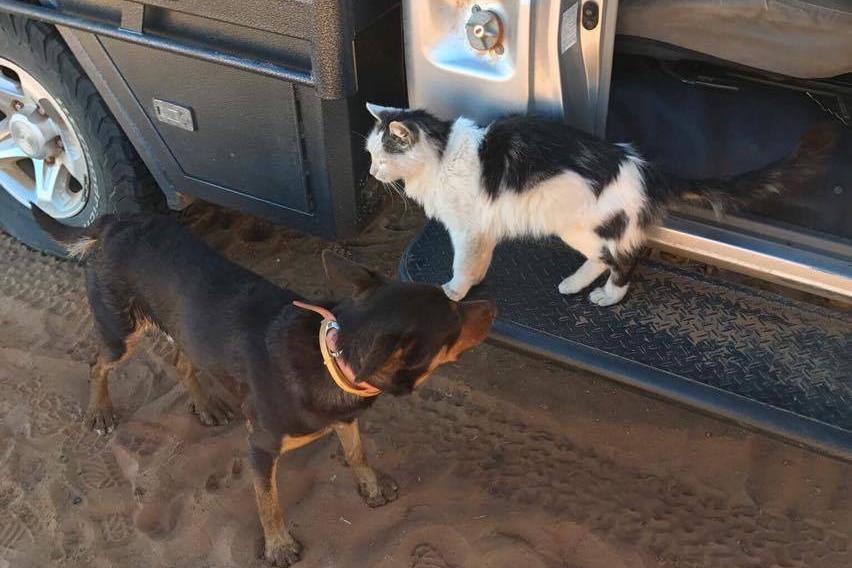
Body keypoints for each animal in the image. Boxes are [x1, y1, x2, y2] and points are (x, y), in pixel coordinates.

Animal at [35, 210, 500, 568]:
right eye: (454, 322)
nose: (493, 305)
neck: (330, 359)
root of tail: (115, 222)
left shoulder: (345, 417)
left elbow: (356, 453)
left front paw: (370, 486)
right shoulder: (259, 447)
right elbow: (268, 502)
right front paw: (278, 545)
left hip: (182, 328)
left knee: (183, 361)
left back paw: (205, 405)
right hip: (121, 332)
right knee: (97, 363)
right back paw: (100, 411)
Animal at [364, 102, 824, 306]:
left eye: (381, 157)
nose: (370, 172)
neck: (441, 154)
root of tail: (646, 168)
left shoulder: (467, 230)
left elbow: (462, 264)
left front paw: (455, 291)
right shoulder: (482, 232)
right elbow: (478, 263)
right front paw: (472, 284)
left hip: (587, 227)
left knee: (625, 259)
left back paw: (608, 296)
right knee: (603, 259)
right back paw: (574, 283)